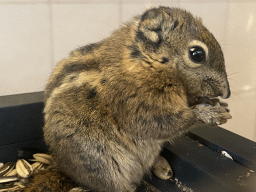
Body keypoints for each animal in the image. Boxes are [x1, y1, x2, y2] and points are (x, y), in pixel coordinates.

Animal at [24, 6, 232, 192]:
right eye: (197, 54)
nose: (227, 92)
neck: (146, 61)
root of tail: (64, 170)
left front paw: (216, 104)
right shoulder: (137, 106)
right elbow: (165, 124)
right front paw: (209, 113)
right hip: (101, 163)